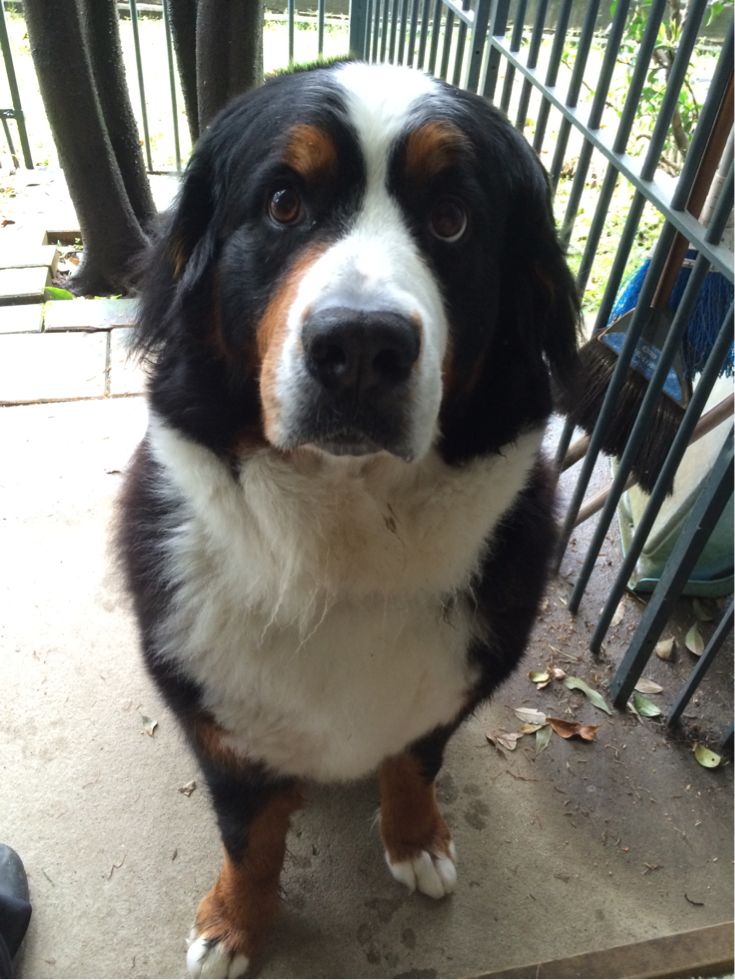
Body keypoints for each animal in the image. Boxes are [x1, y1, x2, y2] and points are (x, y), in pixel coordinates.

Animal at [118, 60, 579, 978]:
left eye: (450, 220)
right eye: (283, 203)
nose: (361, 346)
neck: (343, 545)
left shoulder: (449, 689)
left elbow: (413, 761)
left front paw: (416, 839)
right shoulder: (221, 725)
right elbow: (250, 838)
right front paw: (233, 923)